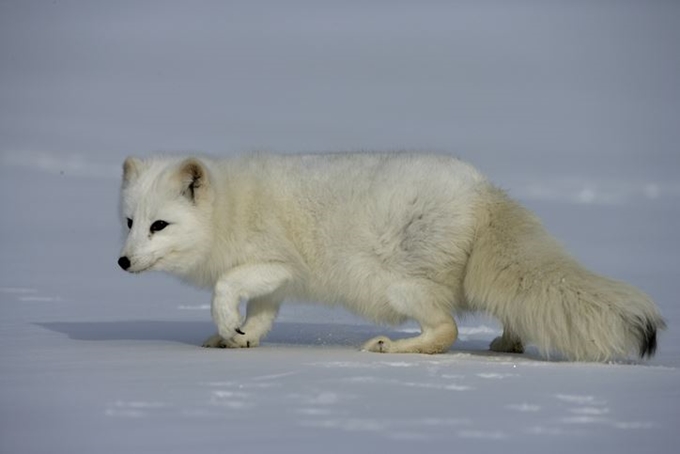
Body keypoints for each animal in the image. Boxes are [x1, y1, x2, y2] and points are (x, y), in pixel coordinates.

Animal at [117, 153, 664, 362]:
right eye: (128, 223)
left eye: (159, 225)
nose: (122, 263)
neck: (231, 207)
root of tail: (484, 191)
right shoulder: (275, 284)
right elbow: (261, 316)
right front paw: (238, 338)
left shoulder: (277, 264)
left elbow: (224, 287)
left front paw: (228, 326)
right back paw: (509, 343)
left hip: (400, 285)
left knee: (446, 331)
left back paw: (390, 347)